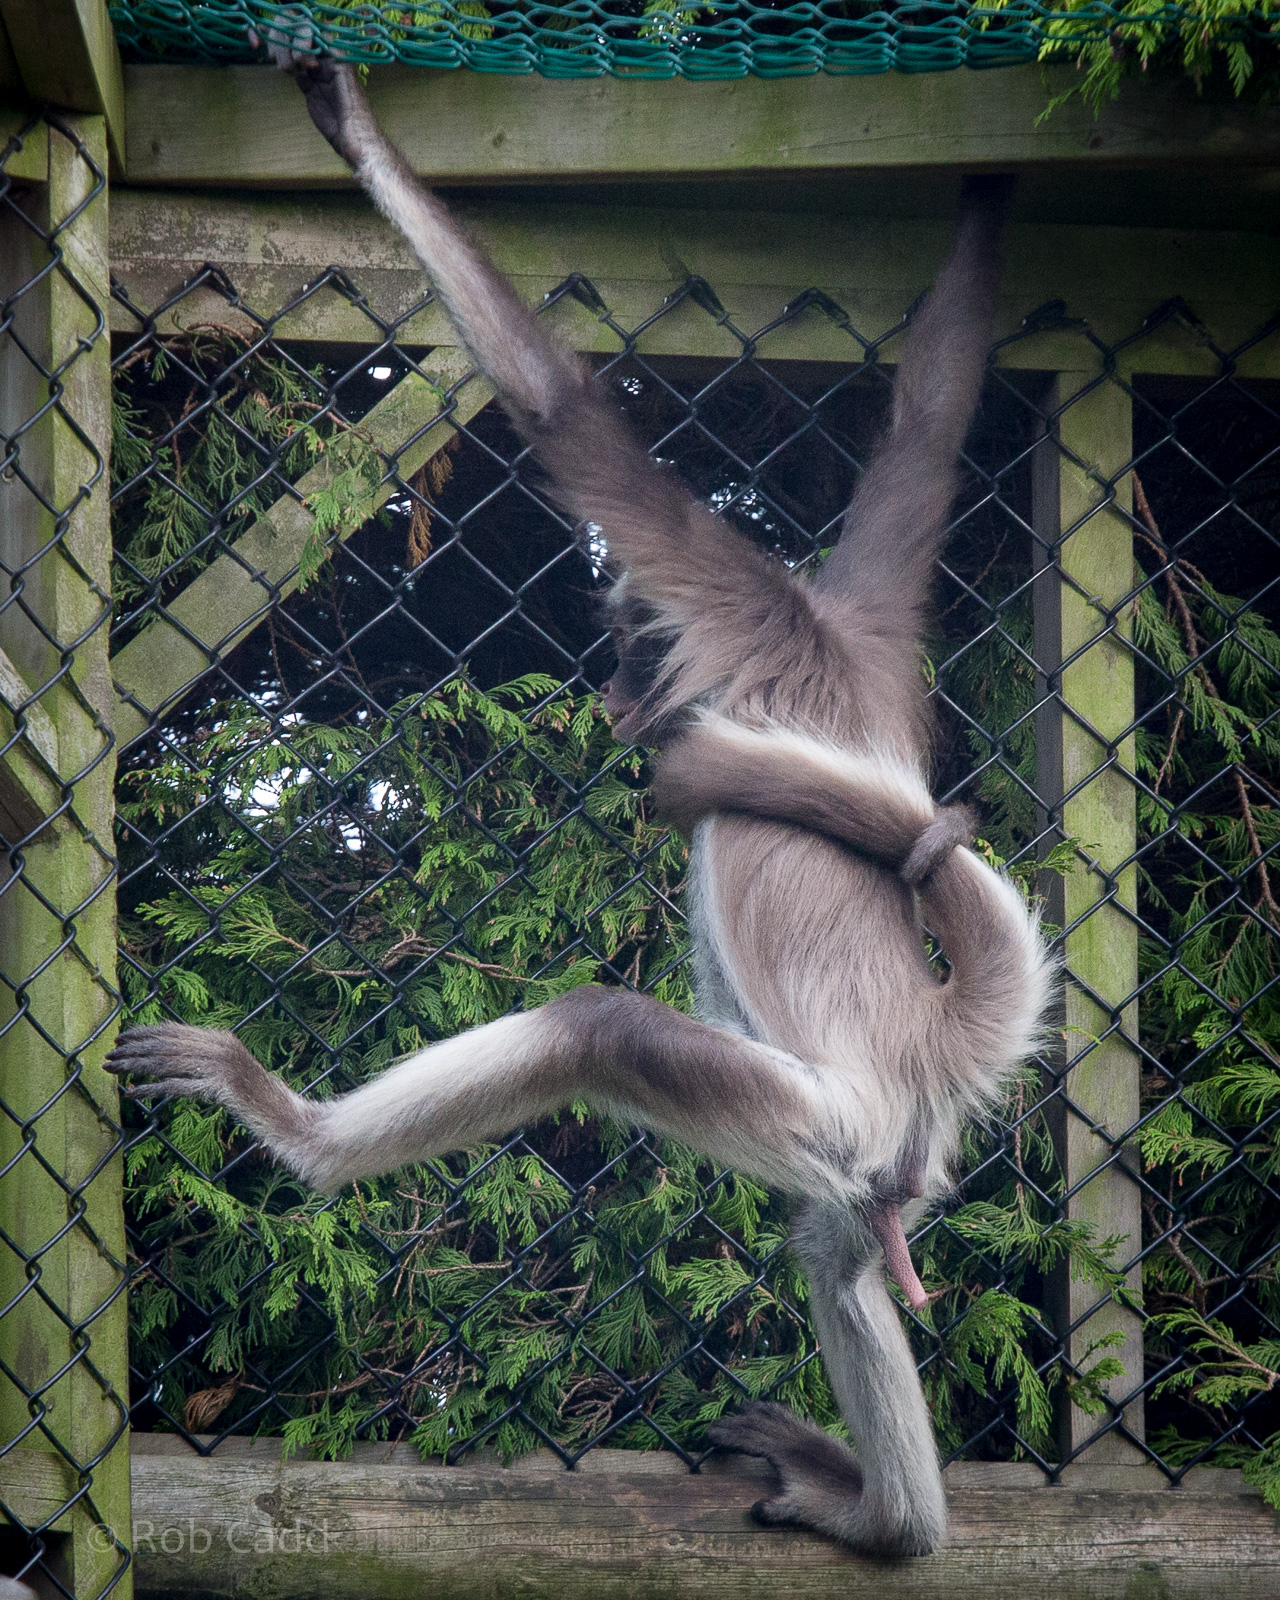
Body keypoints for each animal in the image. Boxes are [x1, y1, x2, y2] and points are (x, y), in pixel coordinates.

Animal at [106, 42, 1052, 1558]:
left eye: (621, 647)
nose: (611, 682)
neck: (802, 631)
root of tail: (937, 1038)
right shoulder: (865, 609)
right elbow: (927, 414)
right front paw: (986, 190)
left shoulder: (723, 600)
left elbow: (553, 403)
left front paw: (354, 133)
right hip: (869, 1152)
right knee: (841, 1242)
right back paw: (892, 1527)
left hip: (826, 1114)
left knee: (603, 1033)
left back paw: (296, 1130)